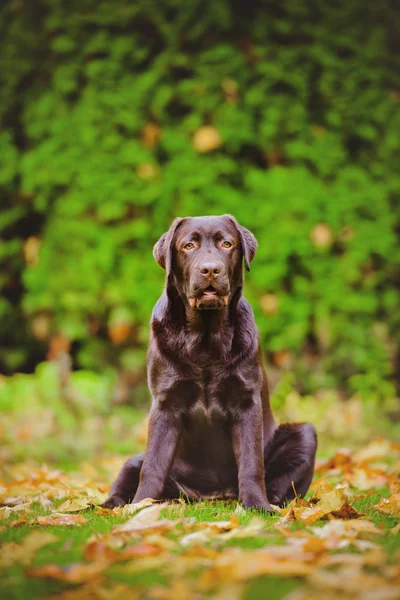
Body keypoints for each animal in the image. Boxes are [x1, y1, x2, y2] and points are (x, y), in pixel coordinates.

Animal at [104, 213, 318, 508]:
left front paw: (257, 506)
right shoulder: (165, 403)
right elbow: (153, 465)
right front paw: (141, 505)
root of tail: (210, 496)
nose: (210, 269)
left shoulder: (246, 401)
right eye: (188, 246)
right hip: (133, 461)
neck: (205, 340)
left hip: (305, 435)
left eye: (227, 244)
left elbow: (252, 463)